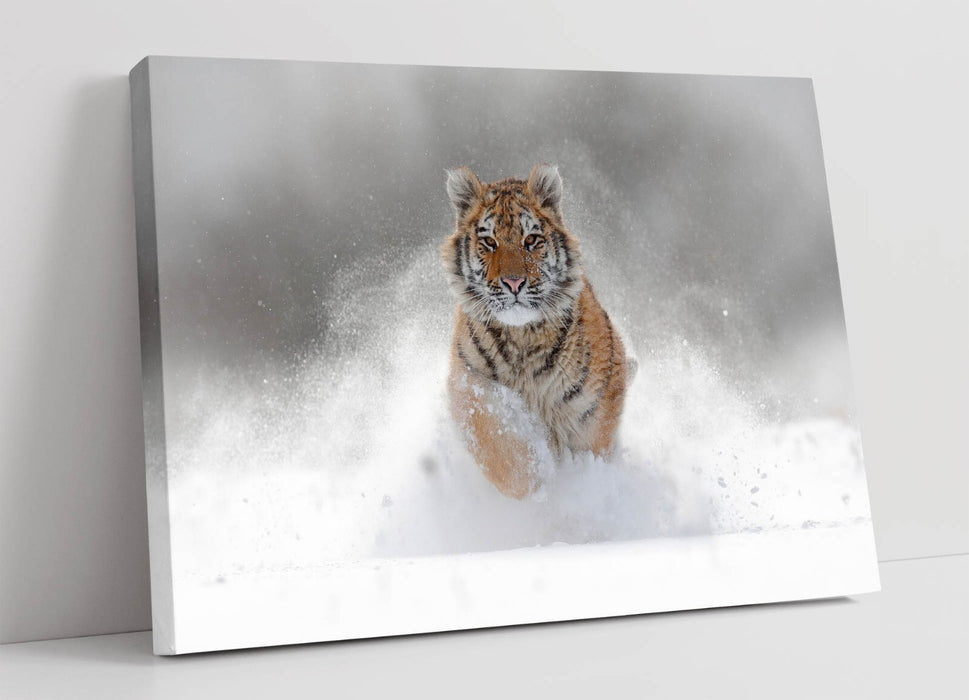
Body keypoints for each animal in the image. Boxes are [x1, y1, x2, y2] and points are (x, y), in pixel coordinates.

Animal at [442, 163, 632, 499]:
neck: (523, 339)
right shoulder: (468, 384)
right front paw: (535, 483)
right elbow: (500, 449)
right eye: (489, 242)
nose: (514, 282)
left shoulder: (594, 410)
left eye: (530, 239)